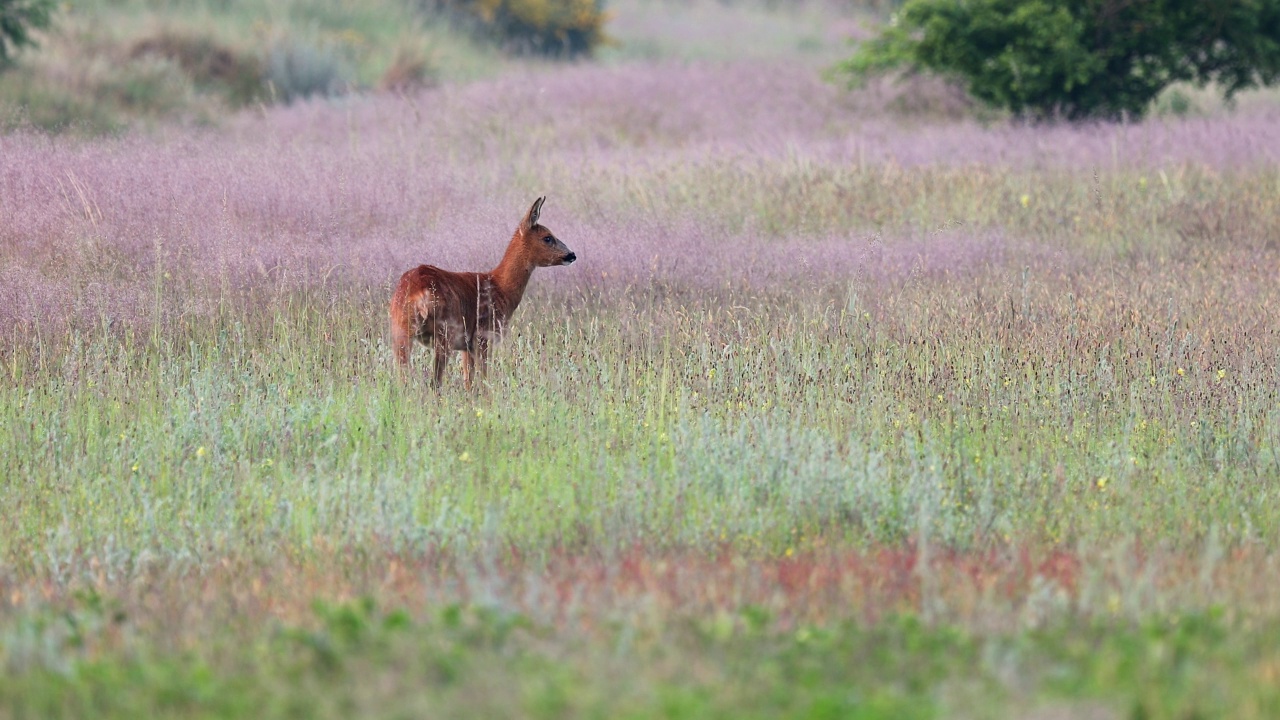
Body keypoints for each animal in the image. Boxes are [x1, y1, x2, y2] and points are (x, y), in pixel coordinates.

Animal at [384, 194, 576, 386]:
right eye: (547, 237)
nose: (572, 254)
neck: (500, 287)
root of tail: (419, 291)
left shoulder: (466, 345)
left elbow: (469, 382)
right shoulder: (483, 336)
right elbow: (482, 381)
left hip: (400, 328)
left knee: (404, 376)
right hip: (445, 331)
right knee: (435, 381)